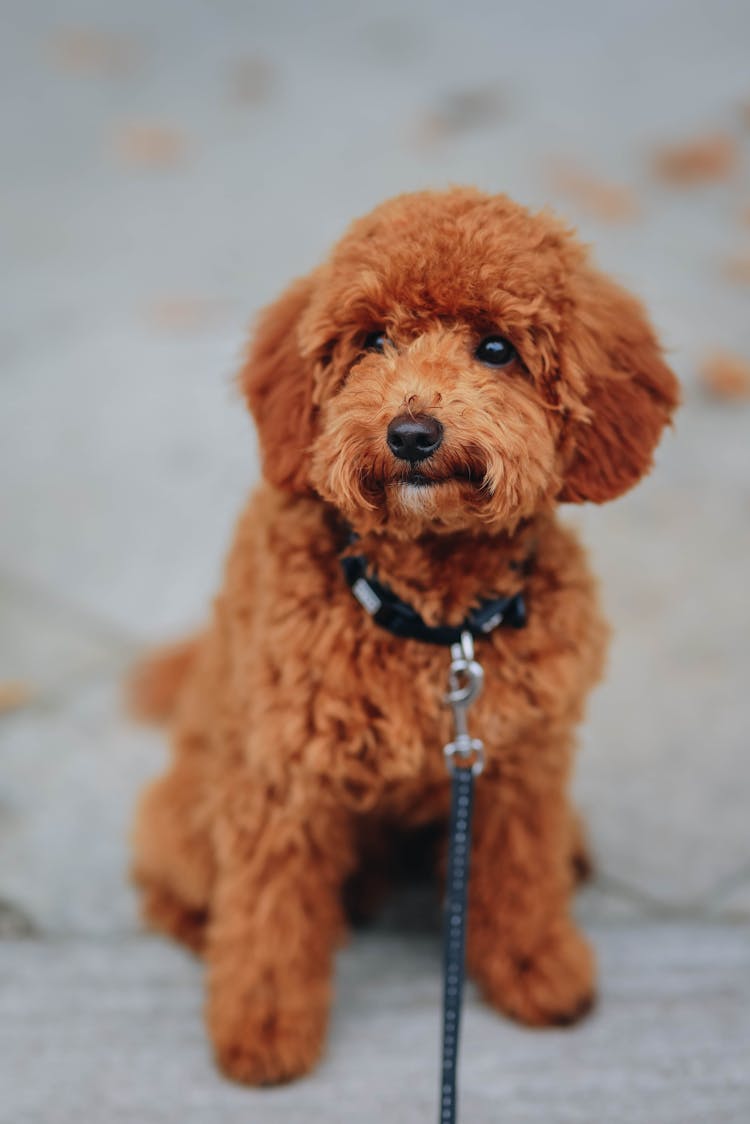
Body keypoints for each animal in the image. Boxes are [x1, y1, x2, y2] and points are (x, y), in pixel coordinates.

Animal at [130, 188, 679, 1083]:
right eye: (372, 341)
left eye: (496, 349)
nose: (412, 434)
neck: (436, 622)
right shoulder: (279, 785)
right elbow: (270, 917)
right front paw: (265, 1026)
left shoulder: (518, 767)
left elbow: (521, 877)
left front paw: (537, 967)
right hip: (187, 803)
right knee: (179, 879)